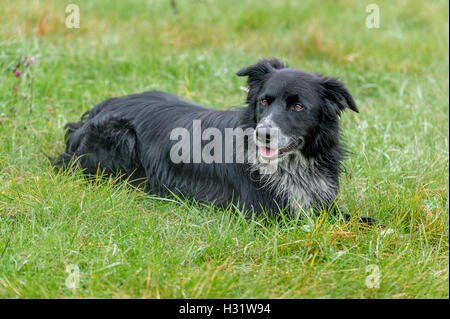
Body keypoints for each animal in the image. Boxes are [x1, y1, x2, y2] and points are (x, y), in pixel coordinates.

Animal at [52, 58, 380, 228]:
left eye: (298, 107)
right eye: (264, 101)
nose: (263, 133)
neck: (292, 163)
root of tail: (99, 108)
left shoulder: (320, 203)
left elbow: (358, 218)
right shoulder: (270, 215)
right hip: (119, 136)